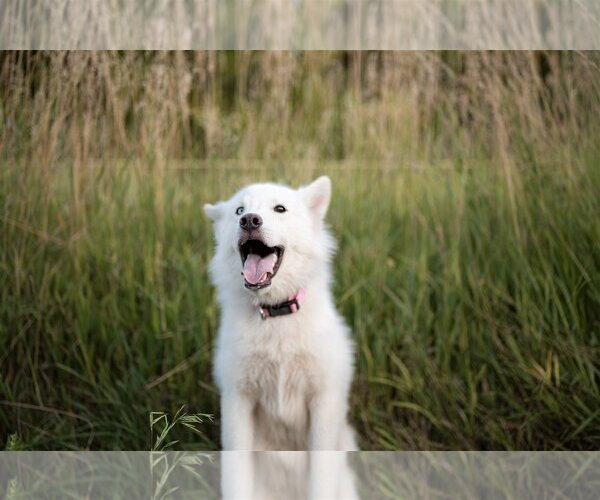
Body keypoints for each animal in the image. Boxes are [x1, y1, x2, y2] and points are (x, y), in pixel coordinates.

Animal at [204, 178, 358, 498]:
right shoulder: (238, 402)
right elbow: (235, 480)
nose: (249, 220)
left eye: (280, 209)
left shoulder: (323, 403)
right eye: (239, 210)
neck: (276, 315)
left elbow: (321, 483)